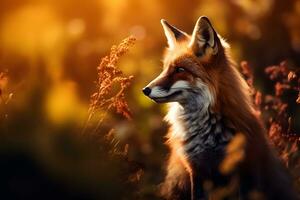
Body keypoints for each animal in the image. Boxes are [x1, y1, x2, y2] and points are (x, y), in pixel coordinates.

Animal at [142, 16, 298, 199]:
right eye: (166, 69)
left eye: (180, 69)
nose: (145, 90)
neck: (206, 133)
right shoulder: (195, 170)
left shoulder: (245, 170)